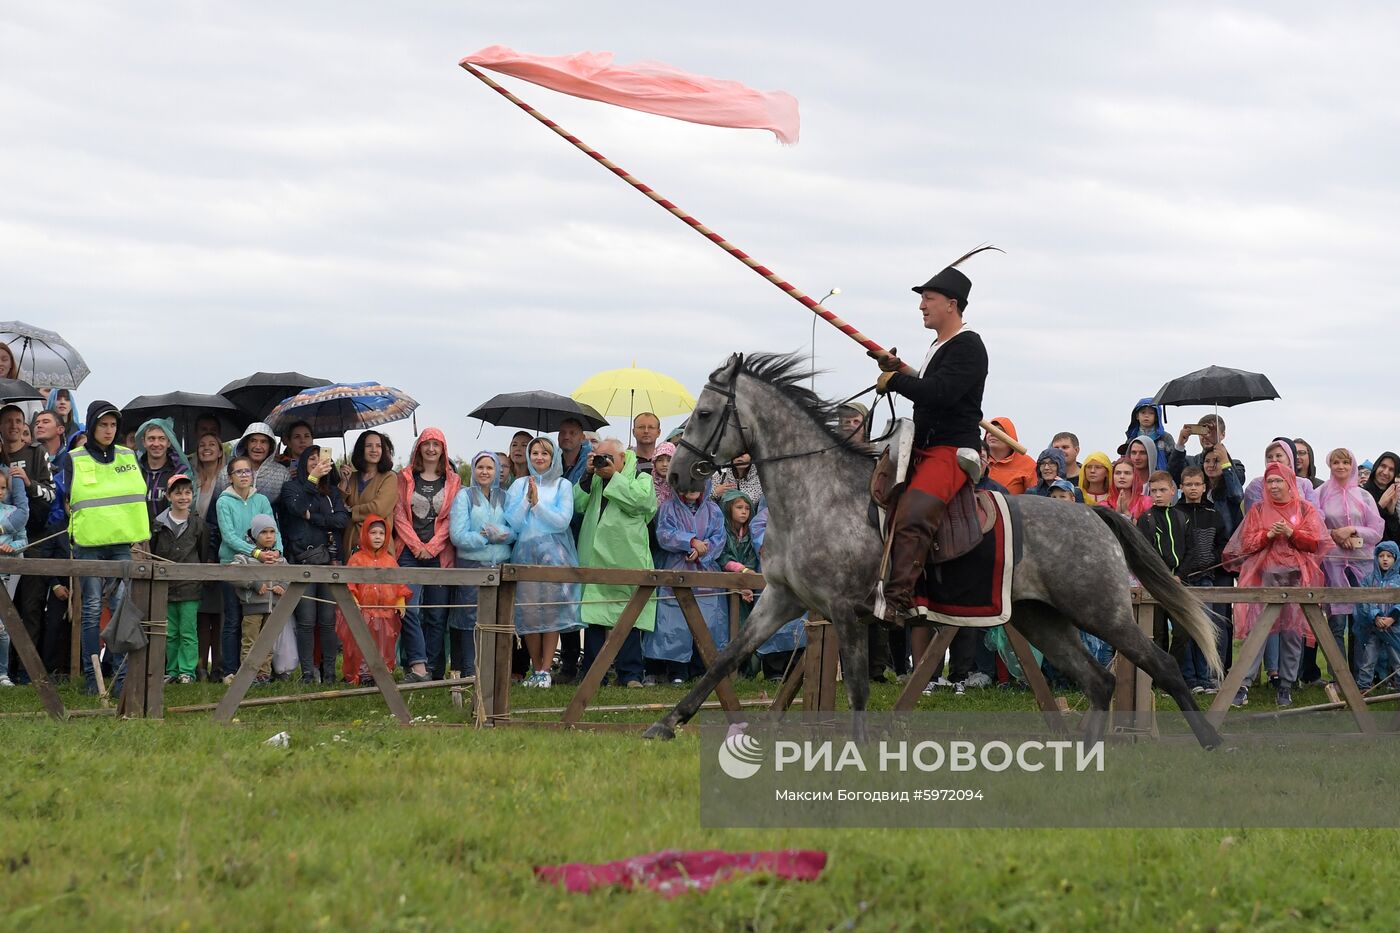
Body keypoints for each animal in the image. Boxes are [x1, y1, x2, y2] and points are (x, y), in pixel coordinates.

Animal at [644, 350, 1226, 750]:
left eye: (703, 414)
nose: (677, 475)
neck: (813, 490)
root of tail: (1091, 514)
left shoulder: (845, 612)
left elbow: (857, 687)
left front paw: (857, 753)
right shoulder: (781, 599)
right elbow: (723, 660)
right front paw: (665, 723)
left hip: (1101, 610)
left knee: (1158, 664)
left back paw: (1211, 742)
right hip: (1042, 619)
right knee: (1098, 680)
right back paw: (1082, 754)